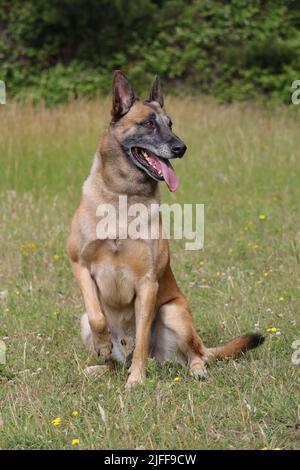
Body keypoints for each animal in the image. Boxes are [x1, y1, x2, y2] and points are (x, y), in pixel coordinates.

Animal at [67, 69, 262, 386]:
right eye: (148, 123)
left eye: (170, 124)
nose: (181, 148)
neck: (123, 198)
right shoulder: (79, 265)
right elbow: (97, 316)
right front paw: (103, 345)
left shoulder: (148, 283)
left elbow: (142, 339)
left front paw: (136, 380)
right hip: (84, 320)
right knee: (114, 357)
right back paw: (101, 366)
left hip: (173, 312)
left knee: (193, 353)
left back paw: (195, 369)